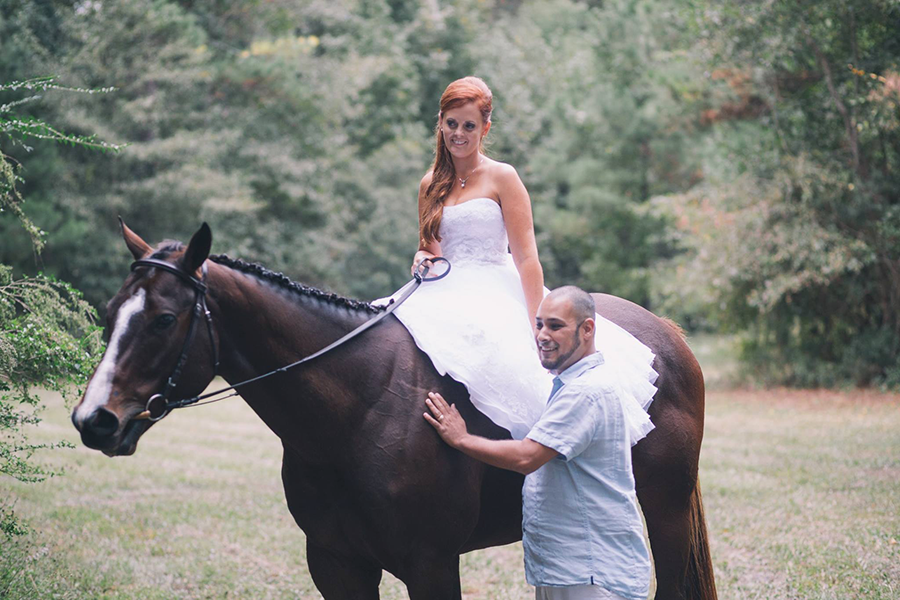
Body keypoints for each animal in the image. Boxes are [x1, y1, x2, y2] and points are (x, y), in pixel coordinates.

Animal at [70, 224, 716, 600]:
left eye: (162, 319)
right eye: (111, 311)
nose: (93, 419)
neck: (359, 406)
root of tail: (667, 336)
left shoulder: (431, 565)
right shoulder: (335, 563)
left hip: (664, 510)